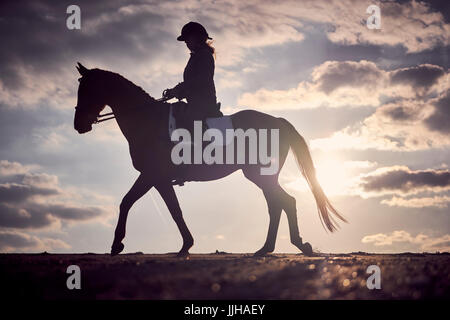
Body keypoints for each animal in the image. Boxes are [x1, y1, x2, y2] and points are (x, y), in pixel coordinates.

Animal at [74, 62, 348, 258]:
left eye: (87, 89)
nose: (79, 125)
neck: (147, 120)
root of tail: (278, 121)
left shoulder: (152, 175)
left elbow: (131, 203)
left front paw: (117, 244)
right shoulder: (158, 179)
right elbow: (169, 209)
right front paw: (184, 245)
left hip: (259, 174)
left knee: (284, 202)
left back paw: (295, 245)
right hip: (262, 176)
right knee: (277, 204)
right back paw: (267, 248)